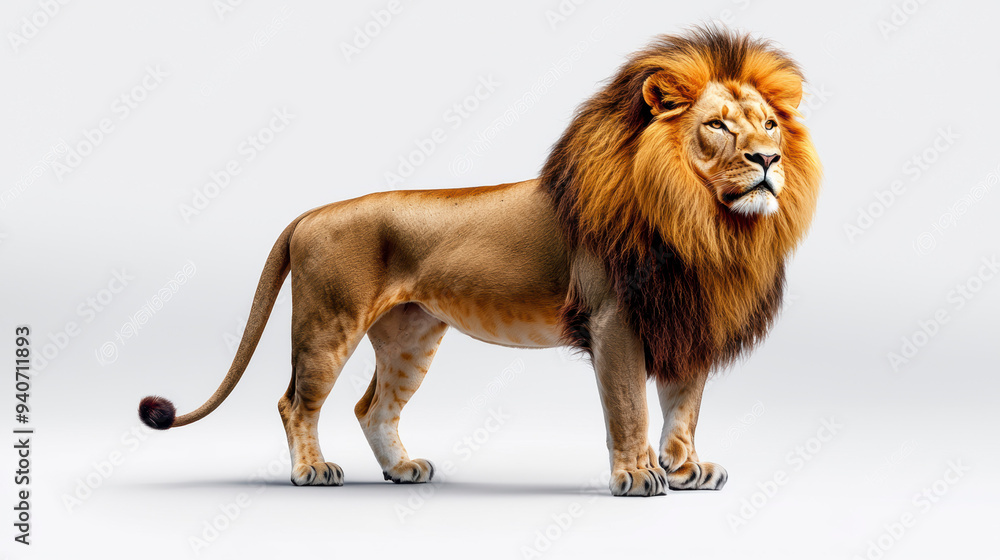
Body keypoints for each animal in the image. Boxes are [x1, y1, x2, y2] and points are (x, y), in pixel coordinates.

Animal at [139, 26, 820, 496]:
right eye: (718, 126)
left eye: (768, 124)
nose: (768, 160)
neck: (706, 226)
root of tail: (309, 214)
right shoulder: (614, 321)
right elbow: (630, 405)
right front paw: (636, 475)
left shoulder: (691, 321)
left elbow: (683, 409)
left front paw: (686, 469)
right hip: (326, 324)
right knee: (296, 402)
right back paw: (312, 471)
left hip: (411, 336)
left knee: (372, 407)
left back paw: (402, 469)